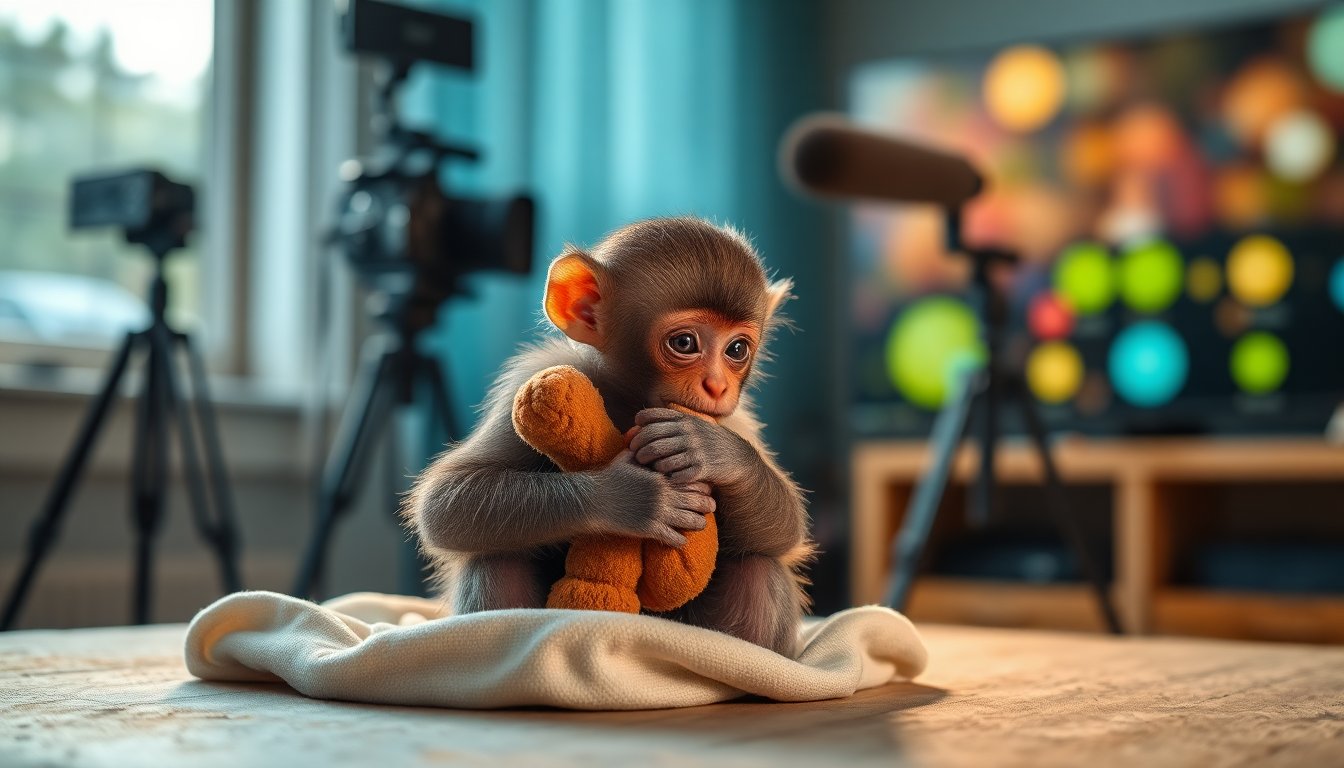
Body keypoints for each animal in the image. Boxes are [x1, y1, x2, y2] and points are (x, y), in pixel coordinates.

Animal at [403, 216, 812, 656]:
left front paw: (712, 449)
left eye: (737, 349)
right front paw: (631, 496)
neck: (629, 402)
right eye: (685, 342)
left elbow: (787, 528)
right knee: (496, 559)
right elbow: (445, 502)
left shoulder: (736, 419)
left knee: (758, 567)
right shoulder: (534, 377)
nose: (717, 386)